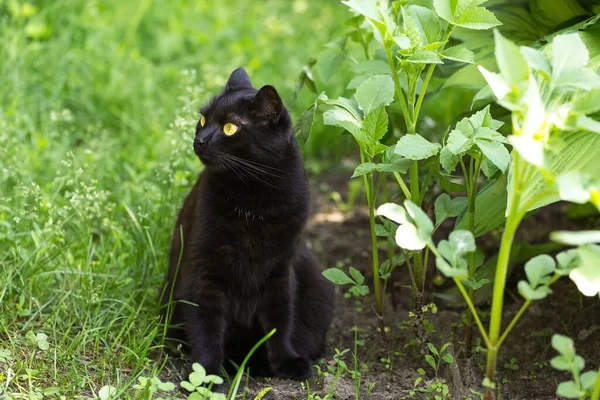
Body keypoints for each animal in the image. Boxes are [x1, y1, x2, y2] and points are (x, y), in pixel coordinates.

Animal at [159, 67, 336, 380]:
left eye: (230, 128)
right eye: (203, 119)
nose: (199, 140)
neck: (253, 199)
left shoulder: (280, 270)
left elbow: (280, 319)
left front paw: (287, 361)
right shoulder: (203, 270)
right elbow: (206, 327)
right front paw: (206, 375)